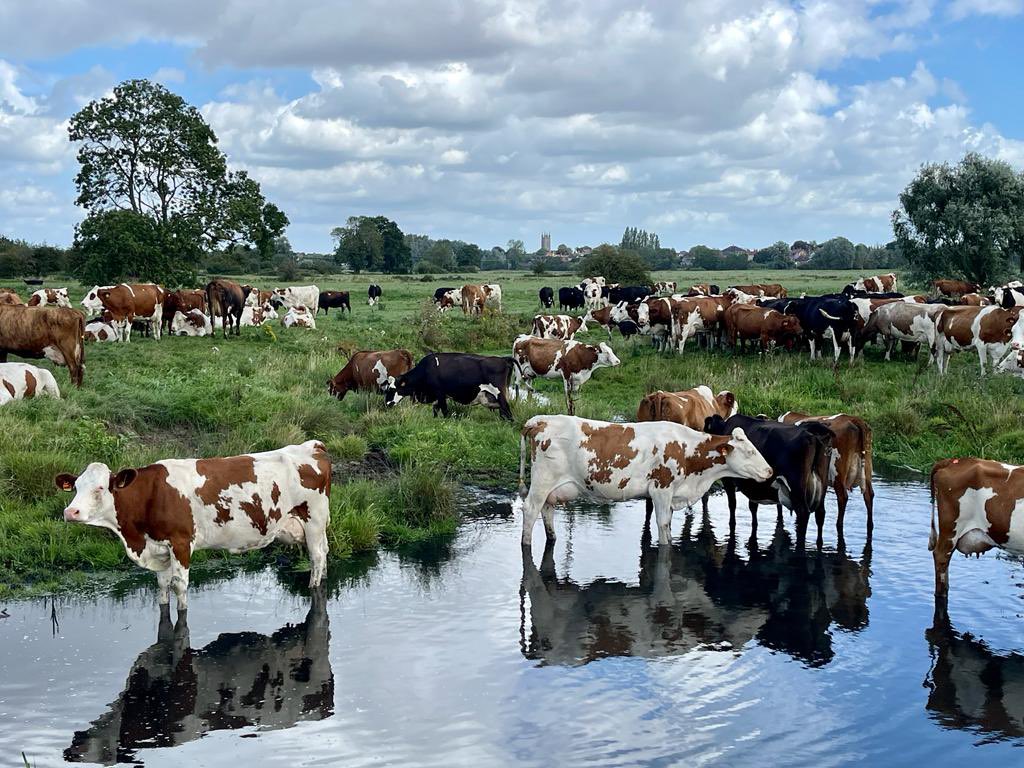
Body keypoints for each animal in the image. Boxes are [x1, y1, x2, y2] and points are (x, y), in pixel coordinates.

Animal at [55, 440, 332, 607]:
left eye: (100, 488)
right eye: (76, 486)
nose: (71, 511)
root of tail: (313, 446)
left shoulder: (181, 542)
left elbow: (180, 587)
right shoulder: (160, 549)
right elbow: (162, 585)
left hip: (314, 521)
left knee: (316, 557)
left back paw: (314, 587)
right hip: (316, 527)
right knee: (325, 553)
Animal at [384, 352, 515, 420]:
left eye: (392, 389)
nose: (387, 404)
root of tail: (503, 359)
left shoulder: (440, 393)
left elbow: (445, 410)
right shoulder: (436, 397)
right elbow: (435, 410)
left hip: (499, 393)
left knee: (507, 410)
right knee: (503, 411)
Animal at [517, 415, 773, 546]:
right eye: (749, 451)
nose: (770, 471)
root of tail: (540, 420)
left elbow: (668, 526)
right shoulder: (661, 489)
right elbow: (663, 525)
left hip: (552, 488)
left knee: (547, 510)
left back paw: (552, 538)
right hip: (542, 480)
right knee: (530, 510)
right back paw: (526, 544)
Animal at [704, 414, 834, 546]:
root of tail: (813, 434)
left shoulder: (728, 480)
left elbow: (732, 504)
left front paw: (732, 524)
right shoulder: (753, 484)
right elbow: (753, 507)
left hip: (797, 489)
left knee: (803, 515)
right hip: (822, 487)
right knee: (820, 514)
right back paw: (819, 543)